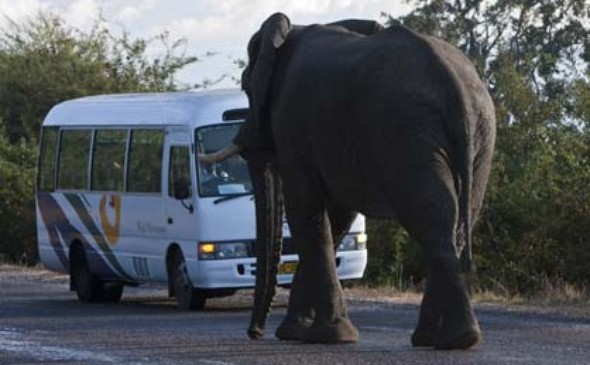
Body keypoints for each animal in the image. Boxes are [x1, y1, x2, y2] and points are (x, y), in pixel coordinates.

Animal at [201, 13, 498, 350]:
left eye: (245, 86)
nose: (255, 332)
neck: (290, 33)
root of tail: (453, 84)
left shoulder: (292, 124)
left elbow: (305, 208)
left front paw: (322, 335)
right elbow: (336, 216)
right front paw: (299, 333)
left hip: (407, 131)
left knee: (431, 219)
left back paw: (452, 339)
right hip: (476, 133)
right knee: (453, 222)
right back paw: (439, 338)